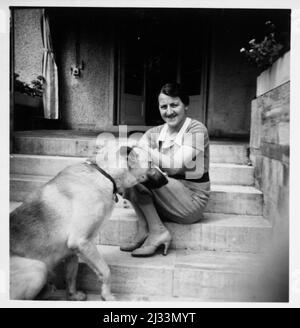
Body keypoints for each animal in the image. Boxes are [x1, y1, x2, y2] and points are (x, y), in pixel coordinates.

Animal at [9, 145, 169, 302]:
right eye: (150, 163)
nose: (167, 180)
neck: (105, 175)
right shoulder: (81, 242)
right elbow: (106, 271)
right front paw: (107, 295)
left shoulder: (73, 250)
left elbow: (71, 275)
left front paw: (73, 296)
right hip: (38, 268)